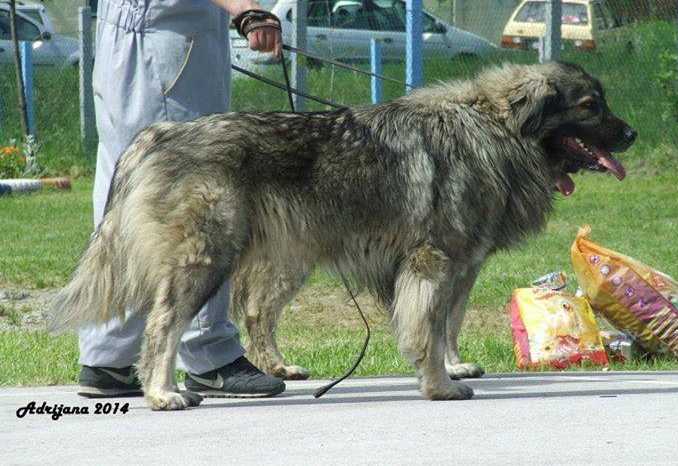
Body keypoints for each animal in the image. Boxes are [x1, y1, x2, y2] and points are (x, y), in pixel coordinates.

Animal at [51, 60, 636, 410]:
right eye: (589, 106)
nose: (632, 133)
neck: (494, 129)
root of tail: (157, 134)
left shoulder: (460, 266)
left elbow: (447, 323)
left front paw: (450, 366)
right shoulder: (434, 262)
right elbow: (427, 328)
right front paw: (439, 385)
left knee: (250, 312)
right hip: (206, 259)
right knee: (163, 326)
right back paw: (161, 391)